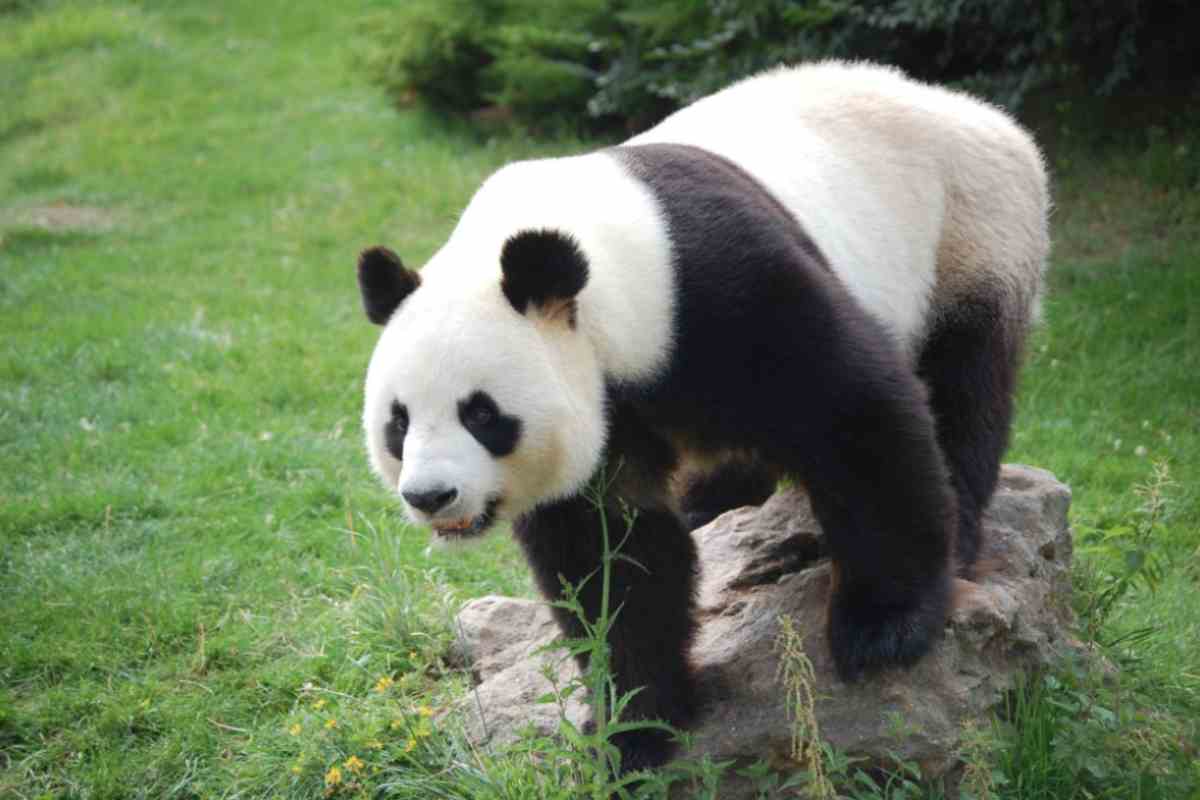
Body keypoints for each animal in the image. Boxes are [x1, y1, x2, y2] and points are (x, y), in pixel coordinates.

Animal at [357, 61, 1051, 767]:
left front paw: (884, 629)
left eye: (481, 414)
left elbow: (857, 417)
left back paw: (960, 528)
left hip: (971, 232)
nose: (431, 496)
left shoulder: (720, 290)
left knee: (960, 387)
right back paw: (714, 505)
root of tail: (964, 106)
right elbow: (612, 556)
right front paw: (635, 725)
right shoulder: (610, 415)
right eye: (399, 422)